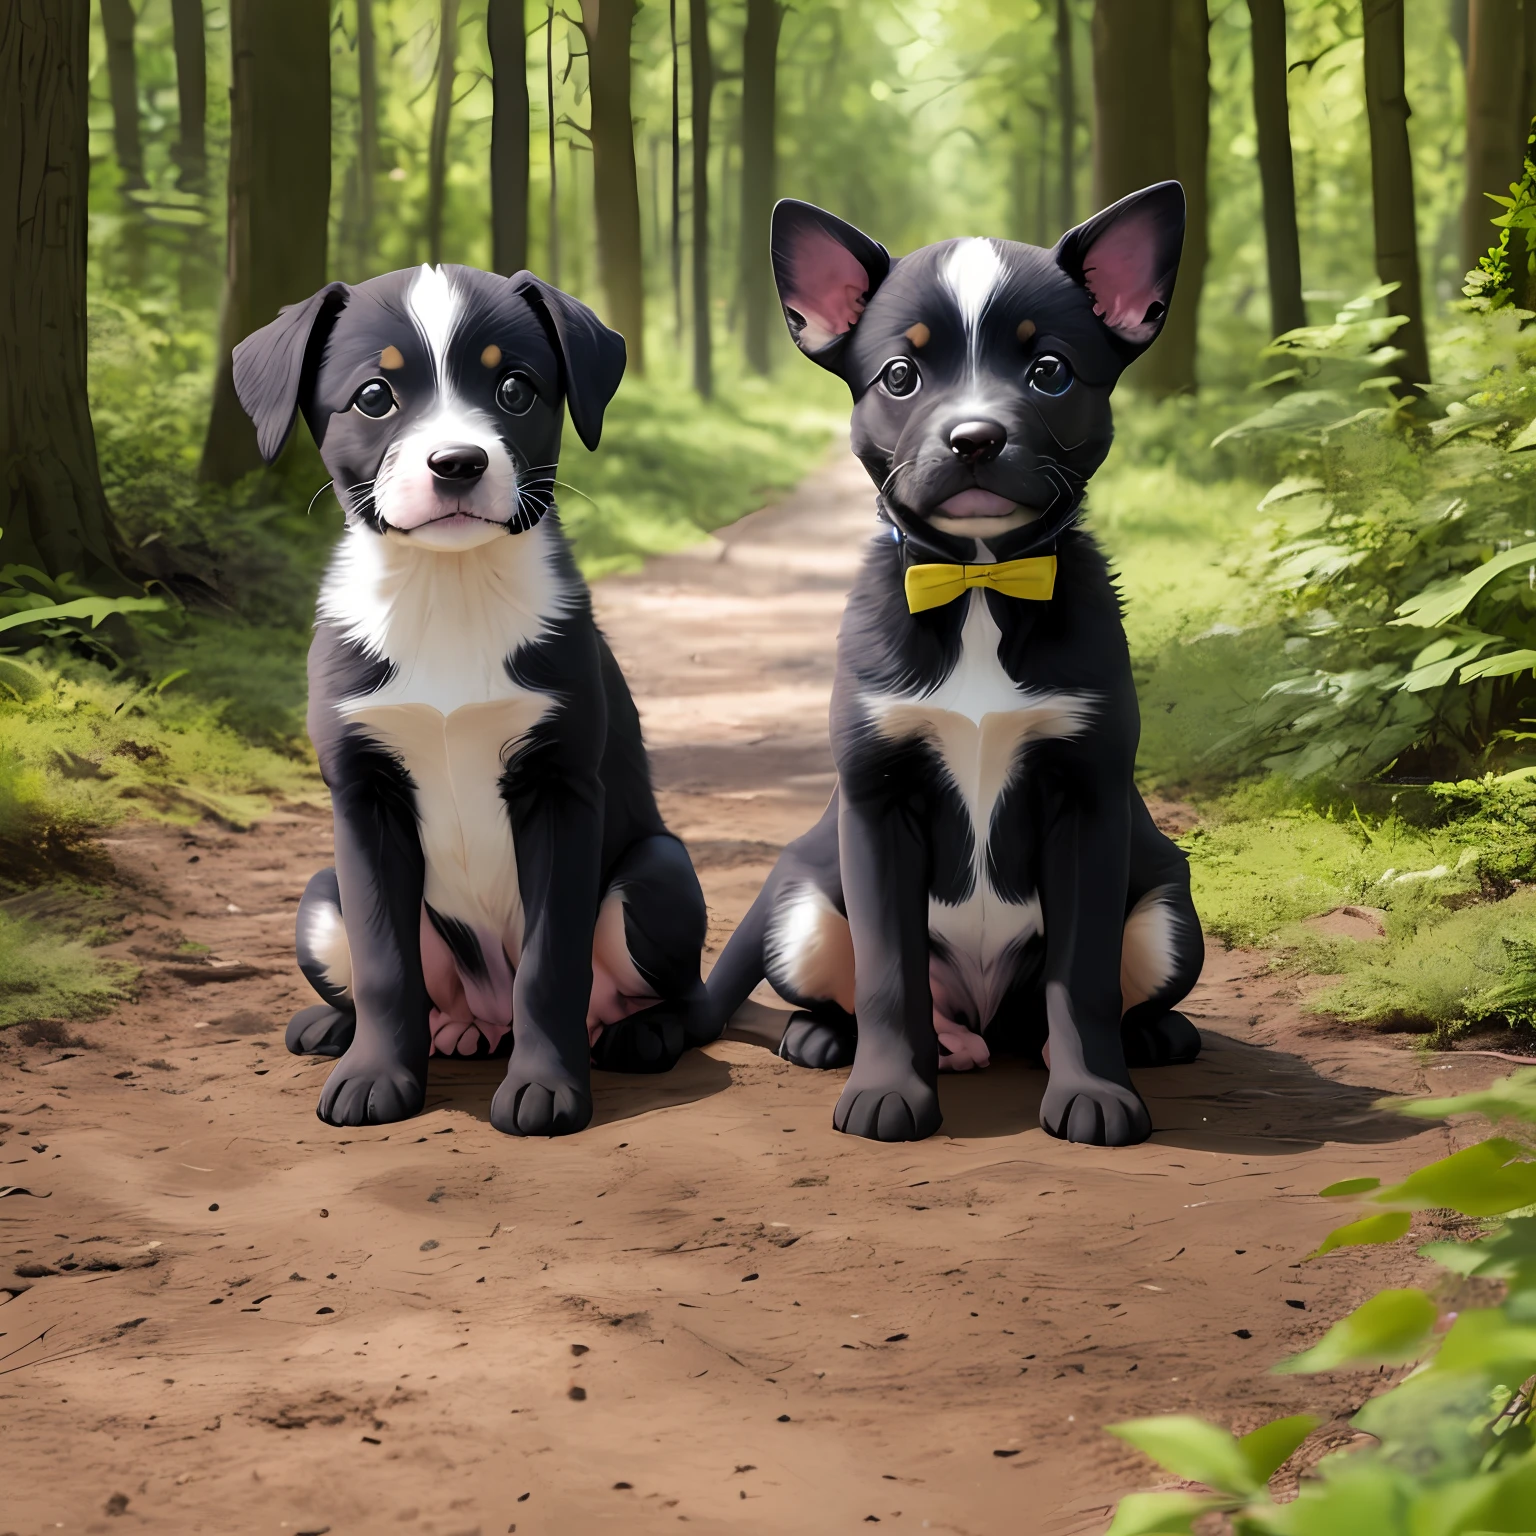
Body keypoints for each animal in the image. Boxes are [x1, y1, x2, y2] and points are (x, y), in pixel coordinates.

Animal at [233, 264, 712, 1136]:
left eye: (515, 389)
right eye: (375, 396)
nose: (455, 462)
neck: (447, 591)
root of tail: (483, 1017)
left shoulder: (558, 787)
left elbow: (551, 965)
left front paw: (546, 1089)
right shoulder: (364, 796)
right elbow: (384, 964)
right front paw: (374, 1076)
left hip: (659, 874)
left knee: (680, 997)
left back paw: (640, 1033)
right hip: (321, 897)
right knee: (409, 987)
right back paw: (351, 1027)